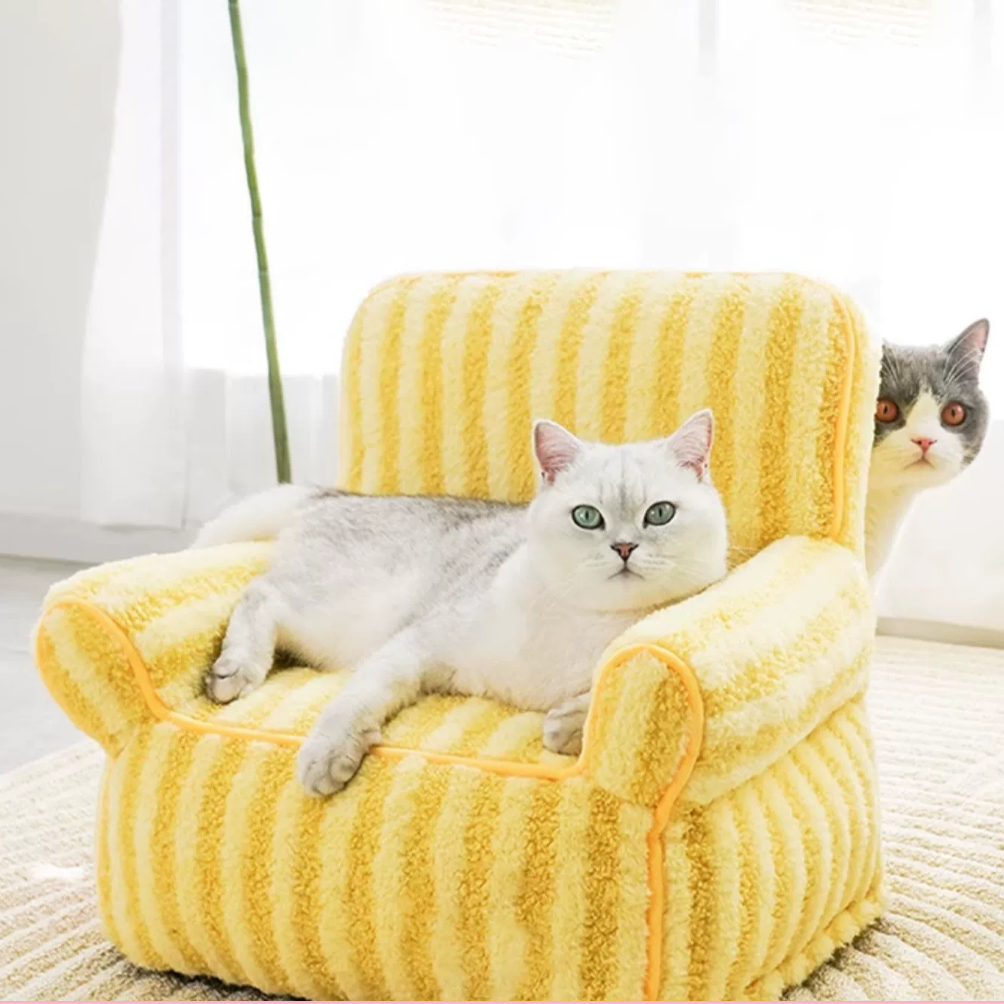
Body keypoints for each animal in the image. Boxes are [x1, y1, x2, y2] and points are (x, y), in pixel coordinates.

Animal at [193, 411, 730, 795]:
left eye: (659, 514)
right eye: (587, 517)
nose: (623, 547)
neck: (586, 621)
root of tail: (338, 496)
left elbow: (592, 694)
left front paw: (569, 724)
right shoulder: (419, 642)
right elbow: (356, 699)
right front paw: (326, 756)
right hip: (344, 616)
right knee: (261, 593)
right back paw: (235, 670)